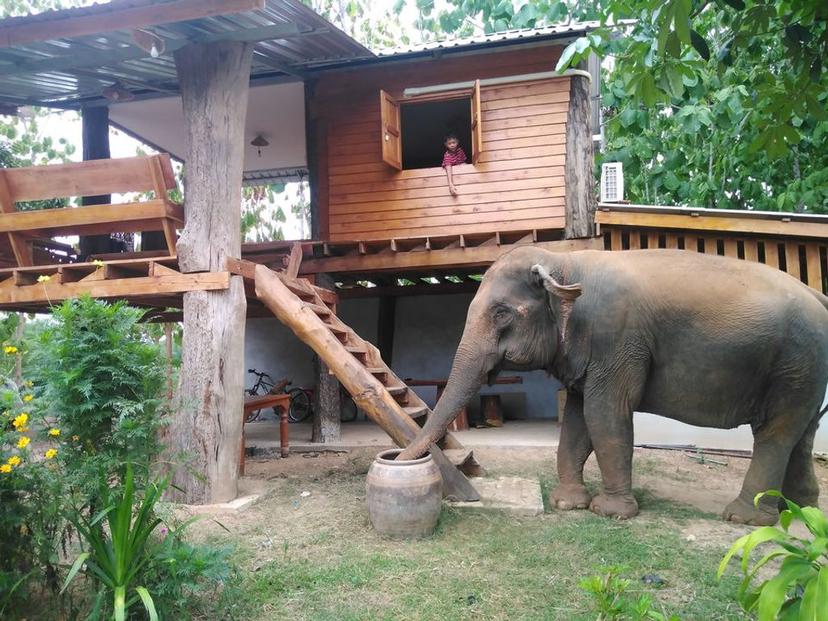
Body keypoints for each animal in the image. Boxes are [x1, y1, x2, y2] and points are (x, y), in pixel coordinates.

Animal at [398, 245, 824, 524]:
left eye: (501, 313)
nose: (396, 460)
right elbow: (575, 419)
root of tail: (818, 296)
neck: (563, 261)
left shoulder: (616, 341)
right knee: (801, 435)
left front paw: (611, 513)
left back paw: (745, 519)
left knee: (775, 433)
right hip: (805, 372)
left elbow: (604, 415)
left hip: (795, 363)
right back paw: (799, 510)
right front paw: (567, 504)